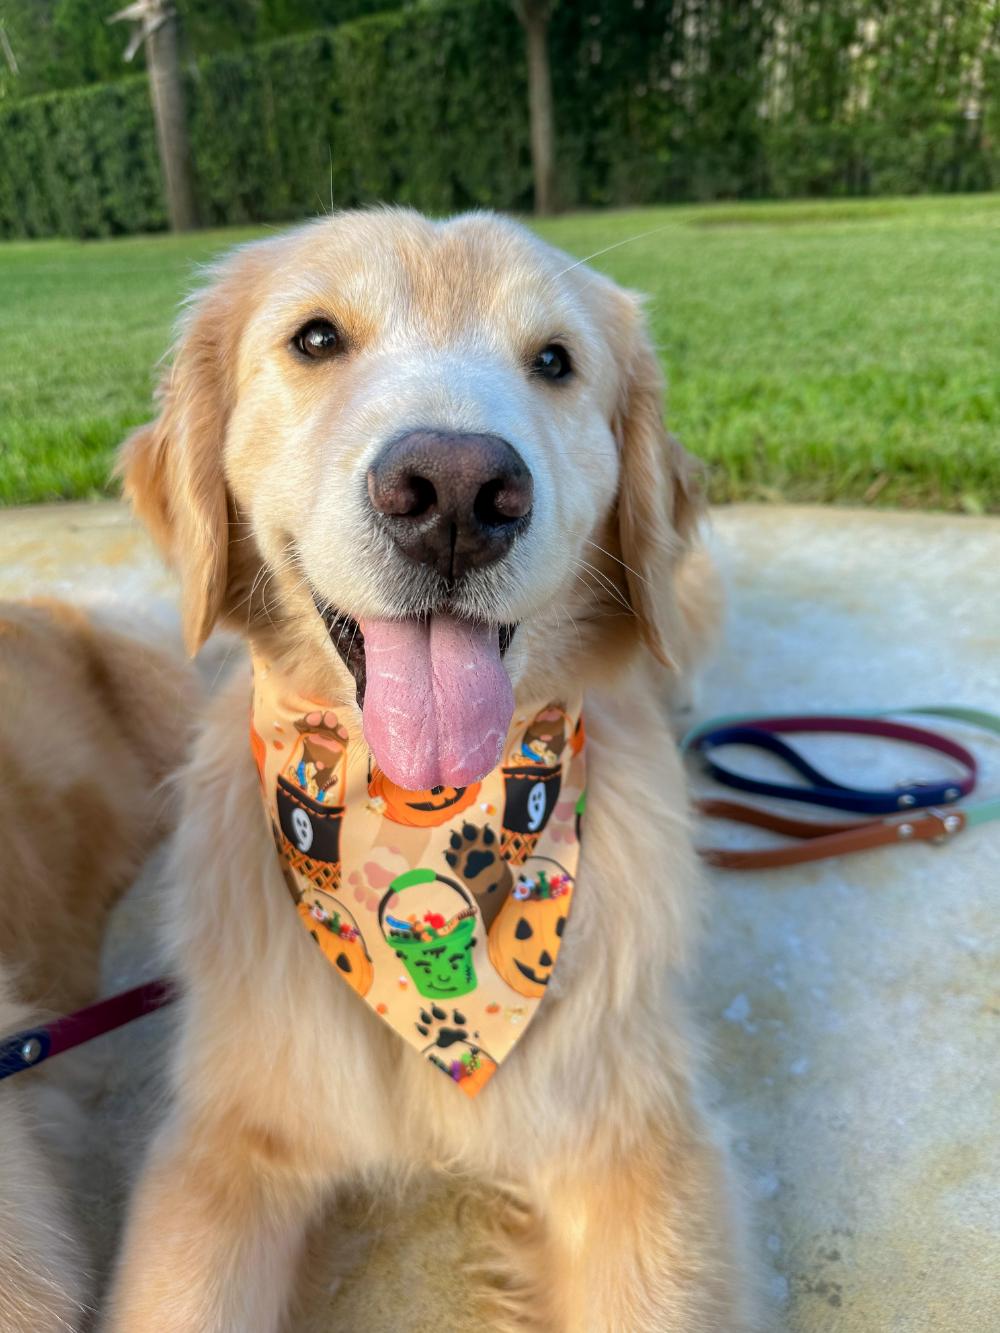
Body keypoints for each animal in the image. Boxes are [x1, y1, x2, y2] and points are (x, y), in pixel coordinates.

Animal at [106, 210, 757, 1333]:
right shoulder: (224, 1148)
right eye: (316, 338)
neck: (412, 808)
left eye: (555, 360)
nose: (456, 491)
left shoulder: (636, 1147)